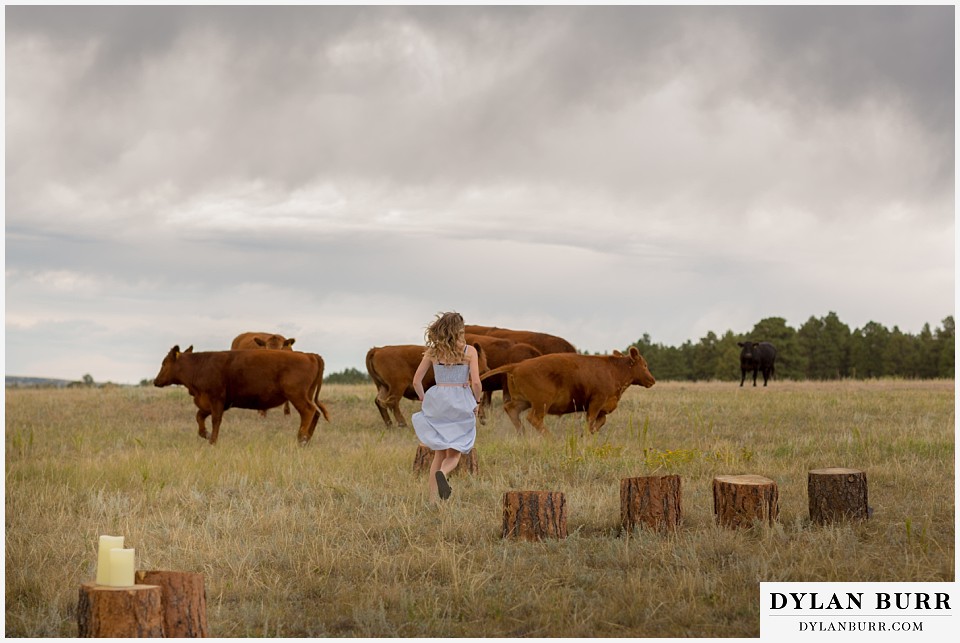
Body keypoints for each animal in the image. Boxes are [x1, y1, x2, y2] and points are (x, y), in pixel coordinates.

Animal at [151, 344, 330, 446]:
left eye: (164, 363)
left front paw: (212, 441)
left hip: (297, 396)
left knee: (308, 411)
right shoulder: (211, 403)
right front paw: (205, 434)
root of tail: (309, 355)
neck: (200, 365)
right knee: (316, 413)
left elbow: (215, 420)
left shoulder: (216, 399)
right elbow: (199, 417)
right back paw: (307, 439)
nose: (156, 381)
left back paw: (301, 438)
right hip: (306, 395)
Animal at [478, 350, 652, 436]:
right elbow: (591, 421)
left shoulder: (601, 408)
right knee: (534, 418)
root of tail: (517, 365)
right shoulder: (596, 403)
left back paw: (523, 434)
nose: (652, 380)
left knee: (511, 409)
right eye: (644, 365)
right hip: (541, 403)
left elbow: (600, 422)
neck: (614, 370)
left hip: (523, 401)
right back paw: (550, 438)